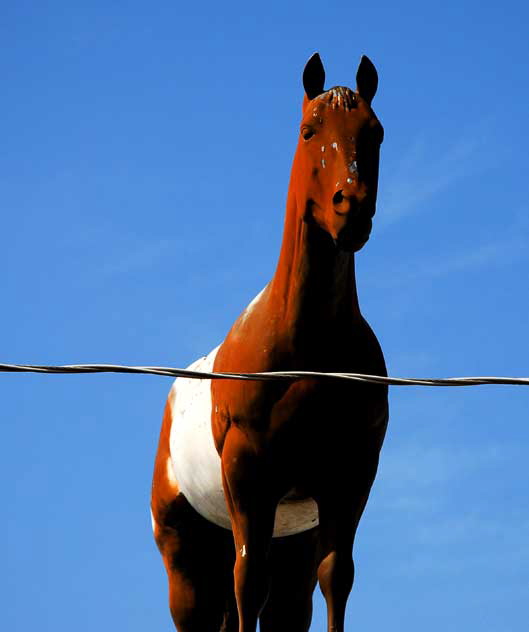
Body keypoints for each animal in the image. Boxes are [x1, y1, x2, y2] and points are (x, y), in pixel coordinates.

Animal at [152, 54, 388, 632]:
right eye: (309, 130)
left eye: (374, 132)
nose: (351, 207)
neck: (307, 354)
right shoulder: (249, 474)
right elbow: (248, 581)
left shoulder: (349, 478)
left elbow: (337, 577)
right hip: (185, 558)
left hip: (288, 544)